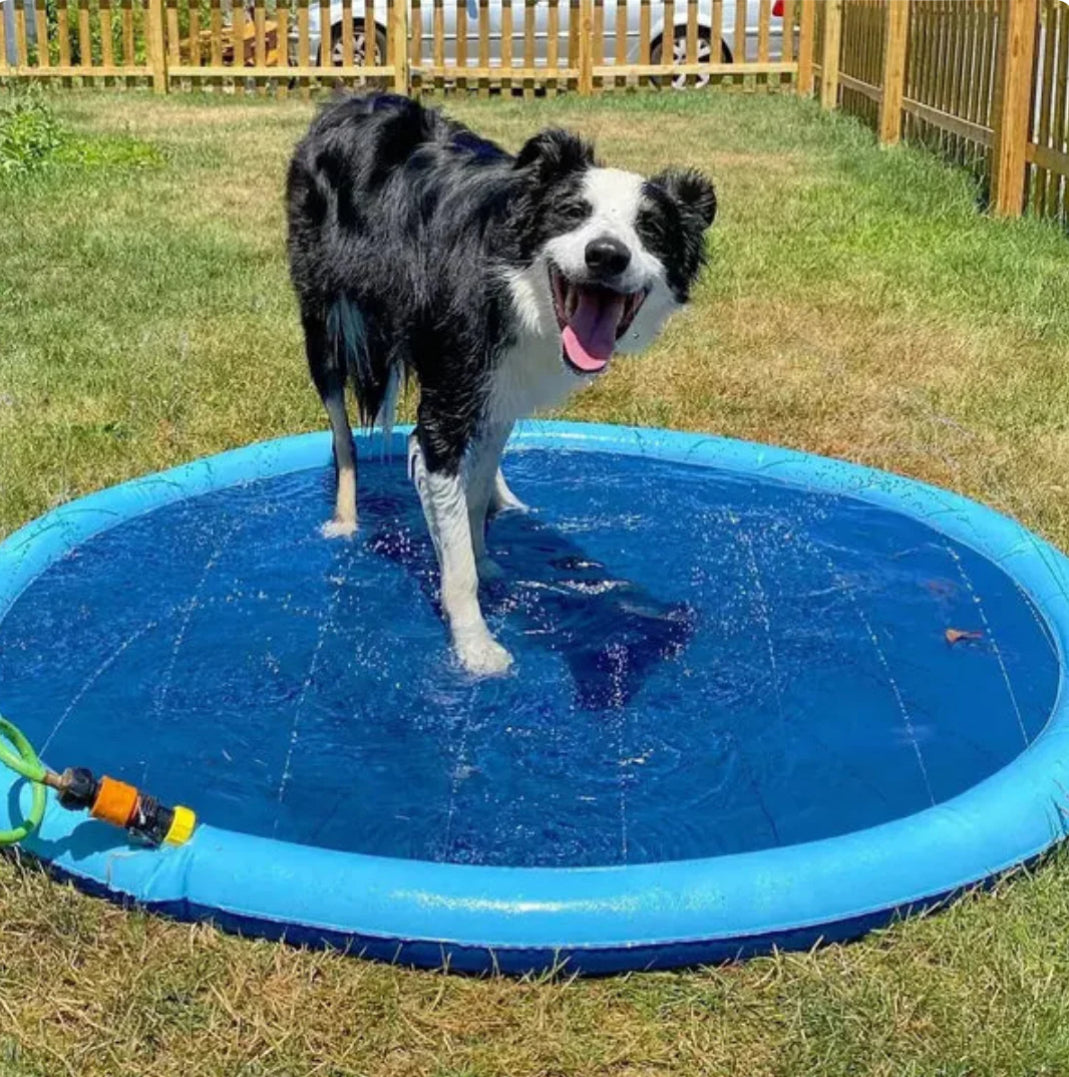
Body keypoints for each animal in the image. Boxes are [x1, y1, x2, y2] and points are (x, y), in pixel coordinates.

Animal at [288, 96, 714, 676]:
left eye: (650, 229)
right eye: (572, 212)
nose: (606, 255)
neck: (516, 288)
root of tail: (354, 100)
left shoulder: (497, 392)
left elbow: (470, 500)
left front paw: (486, 555)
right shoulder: (446, 410)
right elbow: (455, 550)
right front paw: (475, 646)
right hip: (327, 320)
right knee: (343, 435)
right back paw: (345, 519)